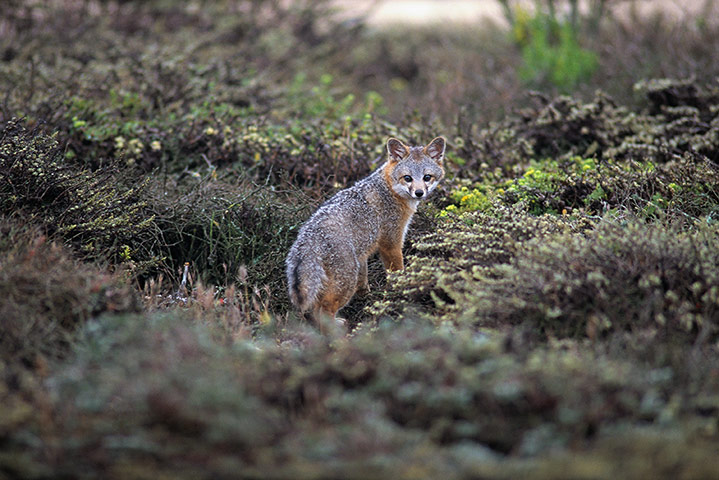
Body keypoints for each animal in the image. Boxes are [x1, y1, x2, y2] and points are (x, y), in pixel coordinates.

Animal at [286, 136, 446, 327]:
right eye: (407, 178)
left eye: (427, 177)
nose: (419, 192)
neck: (388, 188)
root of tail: (308, 237)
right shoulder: (391, 243)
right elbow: (397, 272)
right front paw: (402, 290)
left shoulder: (362, 255)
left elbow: (364, 280)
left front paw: (367, 297)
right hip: (346, 282)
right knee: (323, 310)